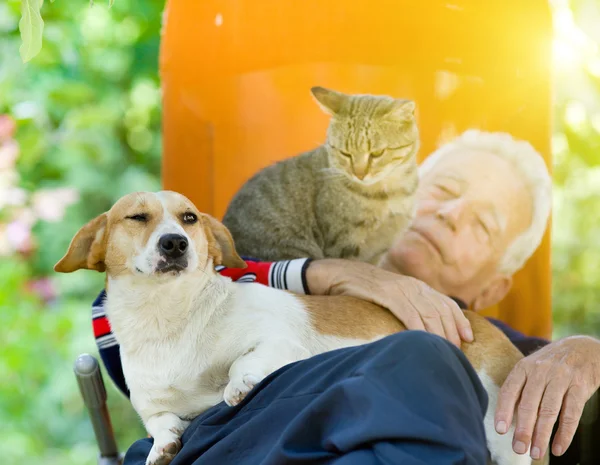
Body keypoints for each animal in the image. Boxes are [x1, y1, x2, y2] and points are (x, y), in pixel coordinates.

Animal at [56, 189, 540, 464]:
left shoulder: (278, 339)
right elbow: (159, 422)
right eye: (137, 217)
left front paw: (238, 385)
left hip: (504, 436)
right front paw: (164, 445)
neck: (169, 320)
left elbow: (242, 364)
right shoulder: (152, 403)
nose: (174, 243)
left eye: (189, 218)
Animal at [223, 85, 420, 262]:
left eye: (377, 153)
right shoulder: (344, 245)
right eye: (345, 153)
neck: (389, 192)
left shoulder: (378, 251)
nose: (359, 174)